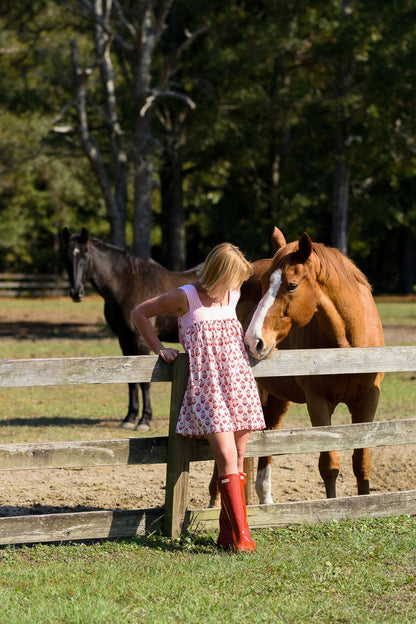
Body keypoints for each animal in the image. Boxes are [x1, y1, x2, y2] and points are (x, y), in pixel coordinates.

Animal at [61, 228, 202, 428]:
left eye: (85, 255)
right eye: (67, 257)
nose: (76, 293)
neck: (126, 284)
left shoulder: (140, 340)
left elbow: (144, 381)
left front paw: (144, 420)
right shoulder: (124, 339)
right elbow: (131, 380)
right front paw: (129, 417)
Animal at [242, 227, 386, 504]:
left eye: (291, 285)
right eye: (263, 284)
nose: (253, 340)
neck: (347, 347)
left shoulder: (367, 401)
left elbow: (362, 462)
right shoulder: (318, 402)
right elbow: (329, 464)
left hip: (278, 397)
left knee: (269, 435)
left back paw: (265, 499)